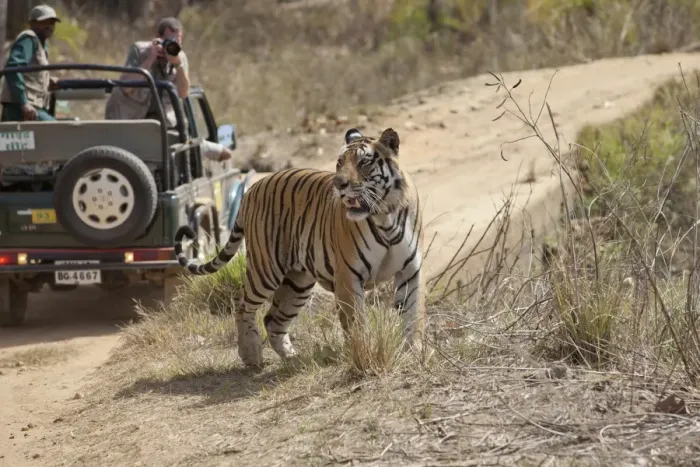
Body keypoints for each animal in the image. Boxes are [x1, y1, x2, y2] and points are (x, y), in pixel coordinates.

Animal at [174, 127, 425, 368]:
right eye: (339, 162)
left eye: (364, 162)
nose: (339, 184)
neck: (384, 215)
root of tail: (251, 189)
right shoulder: (348, 277)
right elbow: (356, 323)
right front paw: (363, 353)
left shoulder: (409, 271)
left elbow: (411, 315)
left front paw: (412, 351)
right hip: (266, 270)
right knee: (241, 302)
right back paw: (251, 353)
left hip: (298, 282)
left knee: (272, 320)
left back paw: (292, 357)